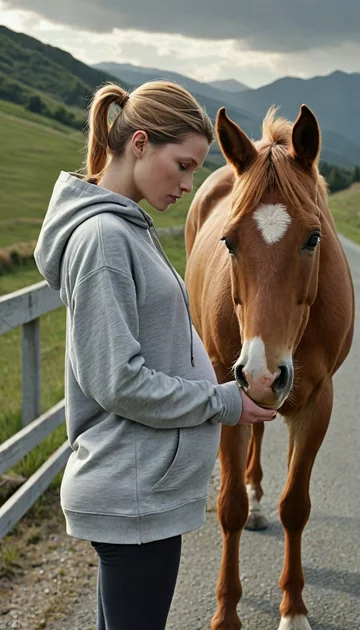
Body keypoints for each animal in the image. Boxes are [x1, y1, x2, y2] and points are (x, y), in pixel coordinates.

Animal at [186, 106, 354, 628]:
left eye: (314, 237)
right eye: (228, 241)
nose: (262, 373)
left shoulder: (318, 403)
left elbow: (295, 506)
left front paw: (294, 608)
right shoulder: (230, 390)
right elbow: (230, 507)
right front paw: (225, 614)